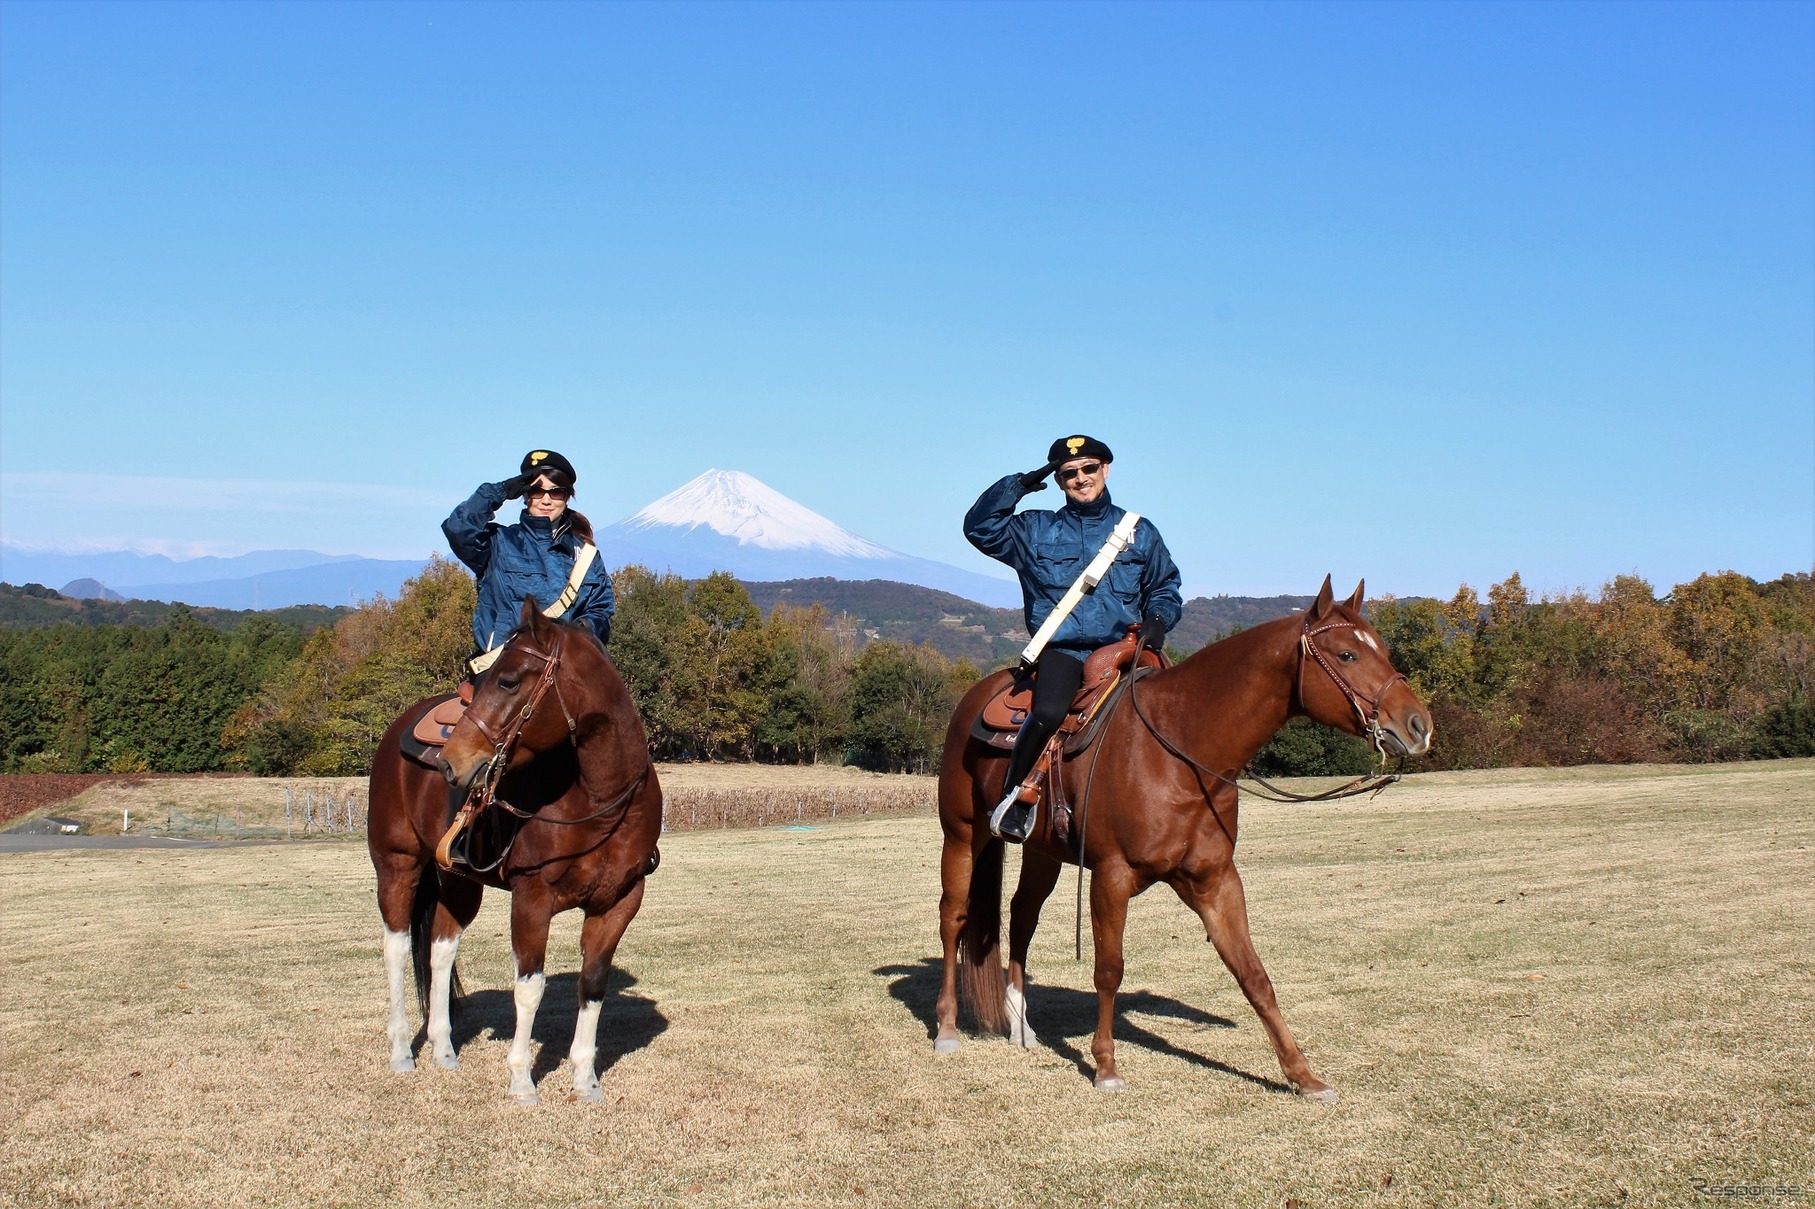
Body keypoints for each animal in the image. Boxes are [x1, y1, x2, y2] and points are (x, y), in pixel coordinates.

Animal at [364, 599, 664, 1103]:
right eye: (493, 676)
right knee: (397, 948)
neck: (601, 798)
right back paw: (402, 1051)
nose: (451, 762)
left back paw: (444, 1049)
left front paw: (585, 1079)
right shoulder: (532, 898)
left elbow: (593, 983)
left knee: (440, 949)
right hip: (397, 865)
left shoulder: (620, 901)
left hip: (459, 882)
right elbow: (530, 987)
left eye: (508, 681)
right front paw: (522, 1080)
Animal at [936, 580, 1430, 1096]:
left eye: (1382, 650)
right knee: (954, 917)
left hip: (1041, 852)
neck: (1181, 751)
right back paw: (947, 1028)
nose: (1418, 725)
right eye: (1347, 654)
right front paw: (1106, 1065)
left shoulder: (1215, 881)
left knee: (1022, 916)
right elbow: (1108, 969)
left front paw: (1303, 1074)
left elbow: (1254, 974)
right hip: (962, 834)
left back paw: (1020, 1024)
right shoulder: (1111, 877)